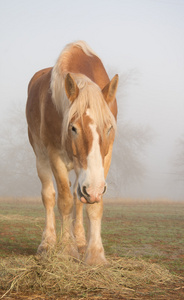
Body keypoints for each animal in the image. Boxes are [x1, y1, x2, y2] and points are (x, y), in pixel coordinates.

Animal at [25, 40, 118, 264]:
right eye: (73, 128)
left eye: (109, 128)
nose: (93, 190)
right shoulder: (54, 155)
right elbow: (64, 201)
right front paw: (67, 249)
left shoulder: (104, 158)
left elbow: (92, 205)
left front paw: (94, 254)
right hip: (41, 156)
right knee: (49, 195)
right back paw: (48, 243)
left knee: (78, 198)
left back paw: (81, 241)